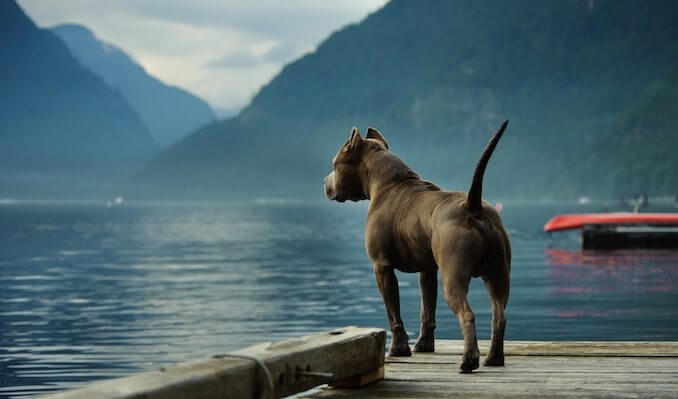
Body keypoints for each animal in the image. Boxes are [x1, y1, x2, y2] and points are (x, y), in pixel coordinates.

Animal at [324, 122, 510, 376]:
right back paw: (494, 358)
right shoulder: (428, 270)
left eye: (335, 164)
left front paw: (398, 348)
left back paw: (469, 360)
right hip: (498, 275)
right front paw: (424, 345)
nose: (324, 182)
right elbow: (427, 309)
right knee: (499, 315)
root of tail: (472, 206)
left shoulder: (382, 267)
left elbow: (394, 312)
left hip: (454, 278)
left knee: (467, 314)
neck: (389, 183)